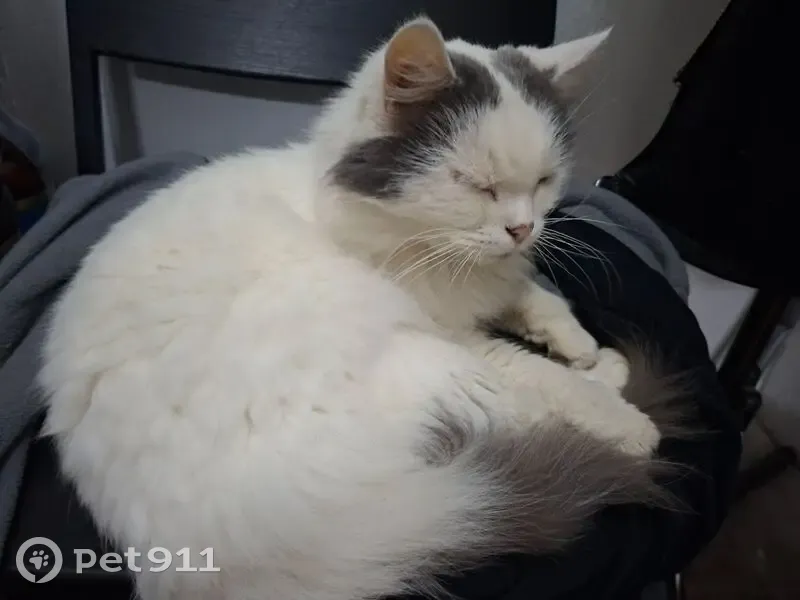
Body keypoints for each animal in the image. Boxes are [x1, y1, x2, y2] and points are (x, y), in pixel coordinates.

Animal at [40, 17, 681, 600]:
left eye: (545, 181)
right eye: (477, 185)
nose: (523, 228)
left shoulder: (491, 286)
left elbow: (534, 295)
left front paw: (578, 341)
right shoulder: (459, 334)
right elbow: (543, 372)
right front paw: (605, 390)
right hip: (426, 363)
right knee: (528, 410)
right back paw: (622, 398)